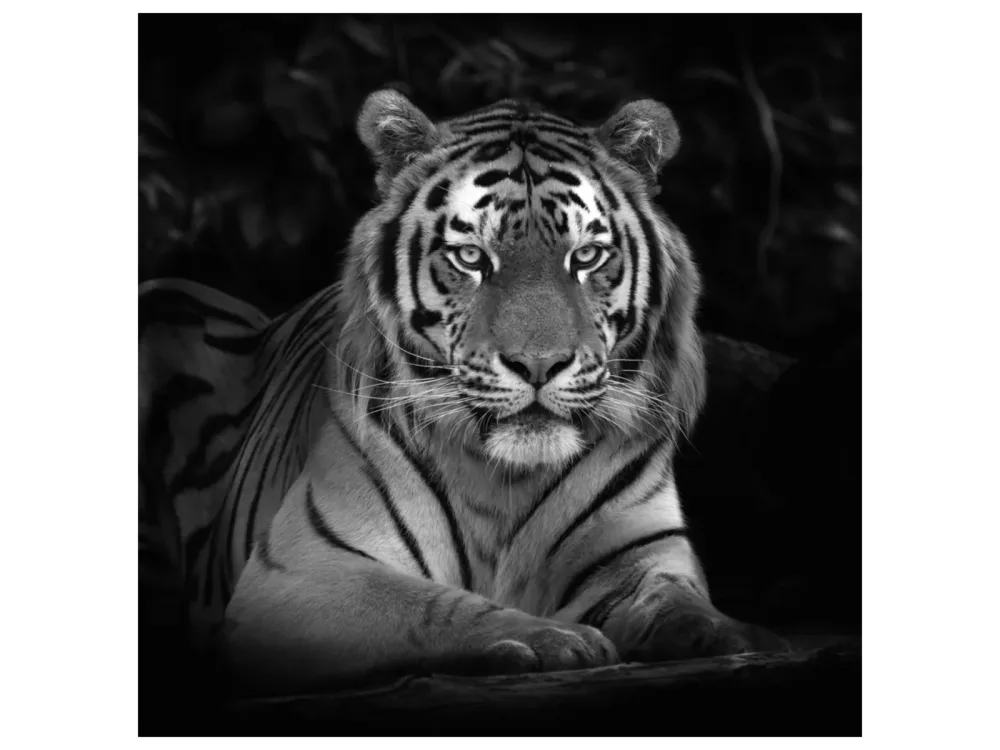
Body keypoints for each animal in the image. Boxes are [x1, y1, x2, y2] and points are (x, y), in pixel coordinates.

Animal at [138, 89, 787, 697]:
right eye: (472, 257)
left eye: (586, 256)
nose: (538, 364)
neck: (507, 482)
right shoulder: (303, 567)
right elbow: (429, 606)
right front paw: (552, 638)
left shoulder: (641, 554)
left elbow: (675, 600)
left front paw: (731, 634)